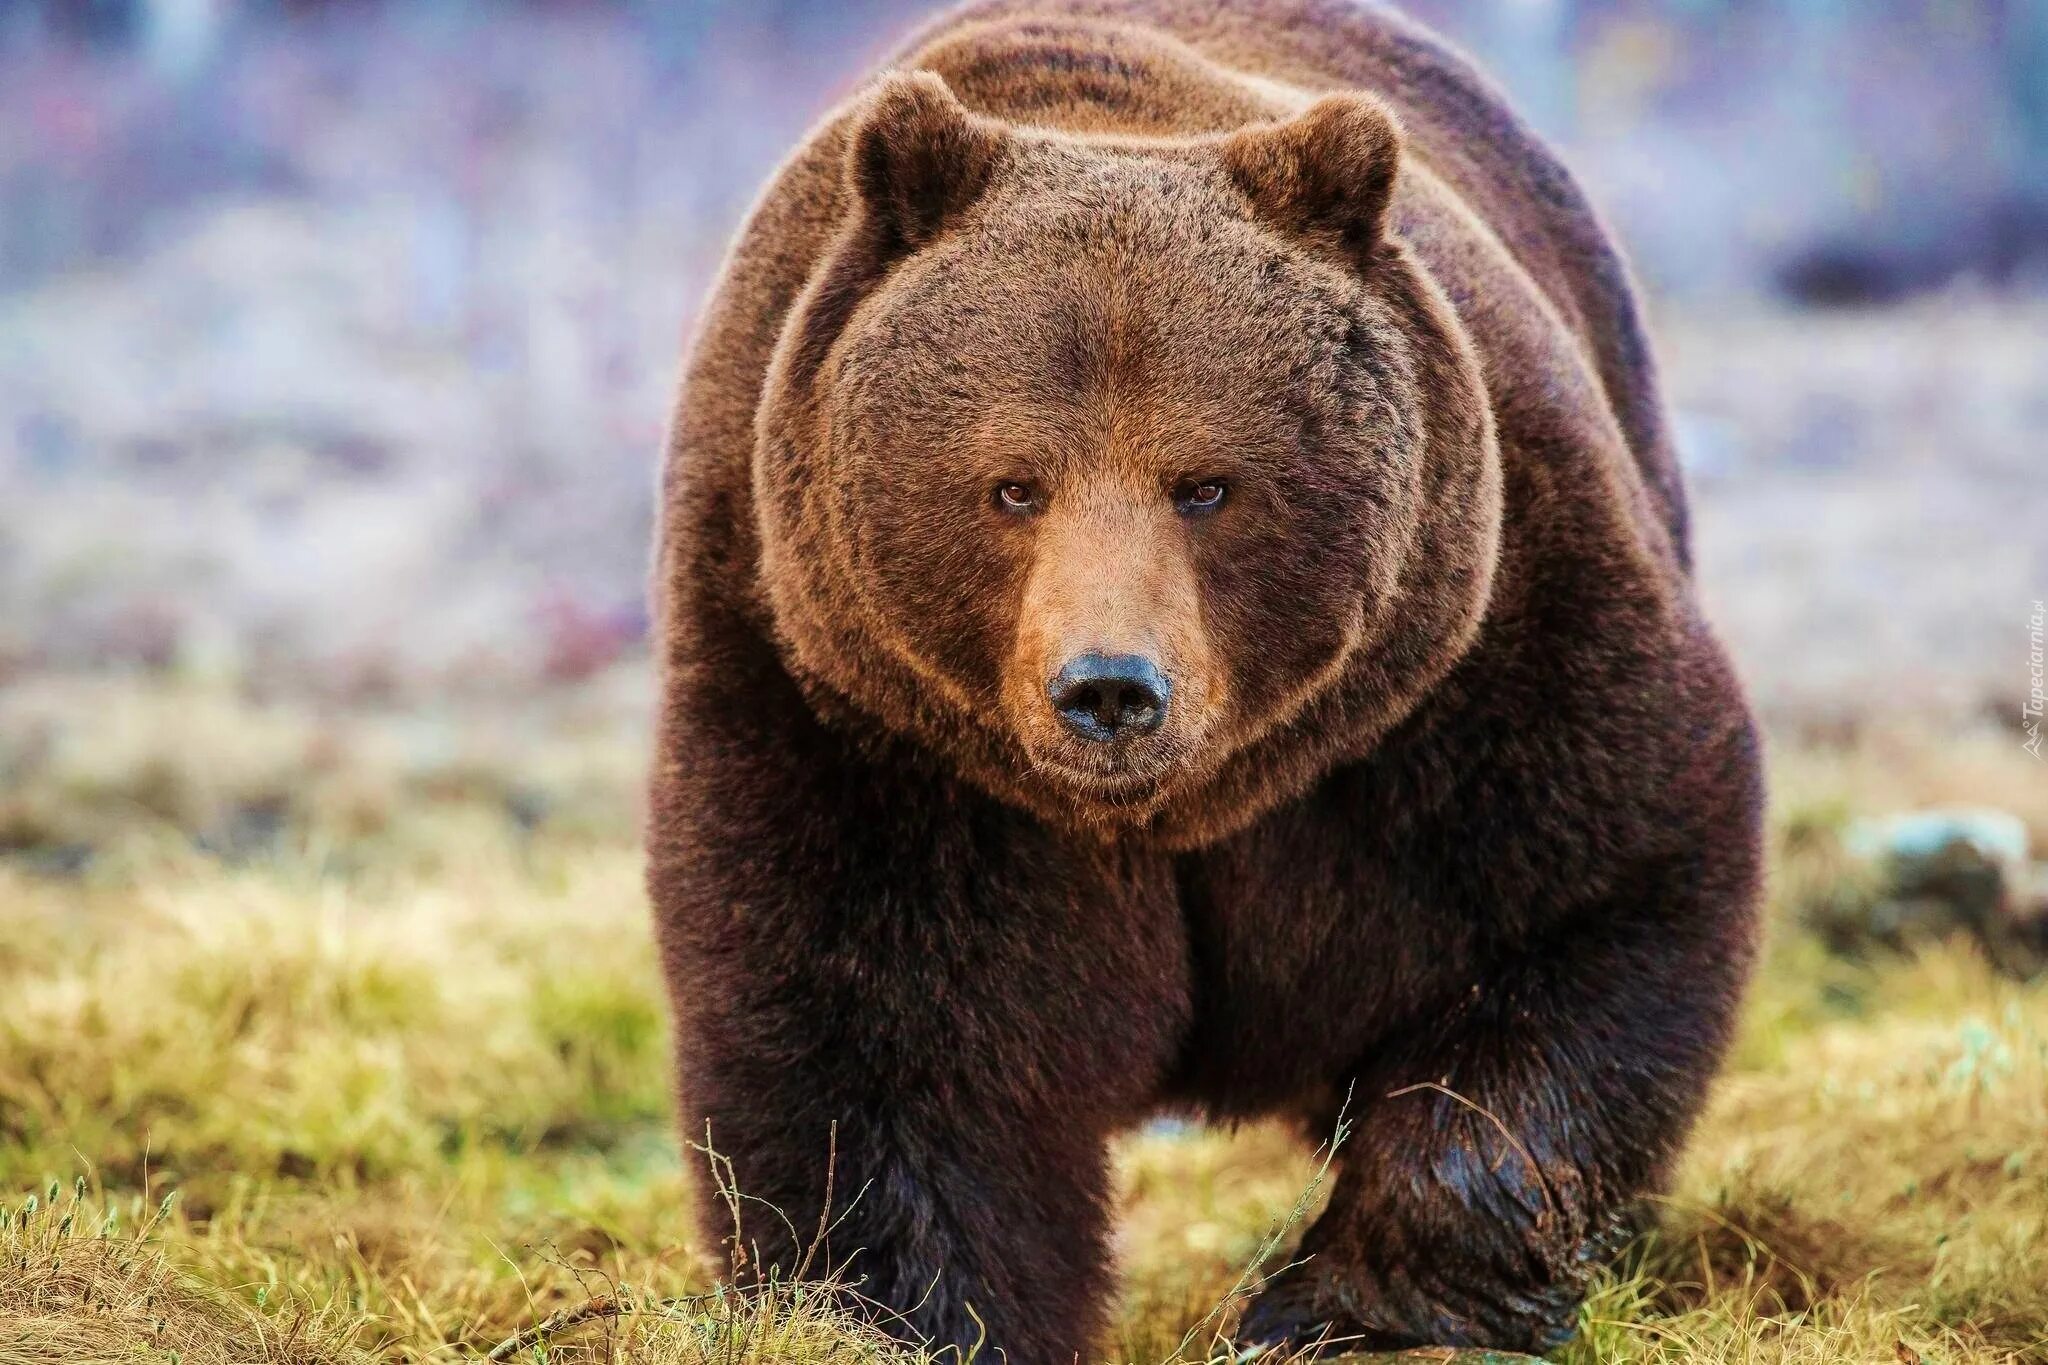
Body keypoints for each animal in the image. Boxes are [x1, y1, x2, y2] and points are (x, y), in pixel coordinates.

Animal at [651, 5, 1761, 1358]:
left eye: (1207, 483)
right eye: (1012, 485)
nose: (1109, 688)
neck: (1170, 811)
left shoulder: (1472, 645)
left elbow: (1587, 892)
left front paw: (1346, 1306)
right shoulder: (840, 698)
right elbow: (875, 1038)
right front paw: (907, 1313)